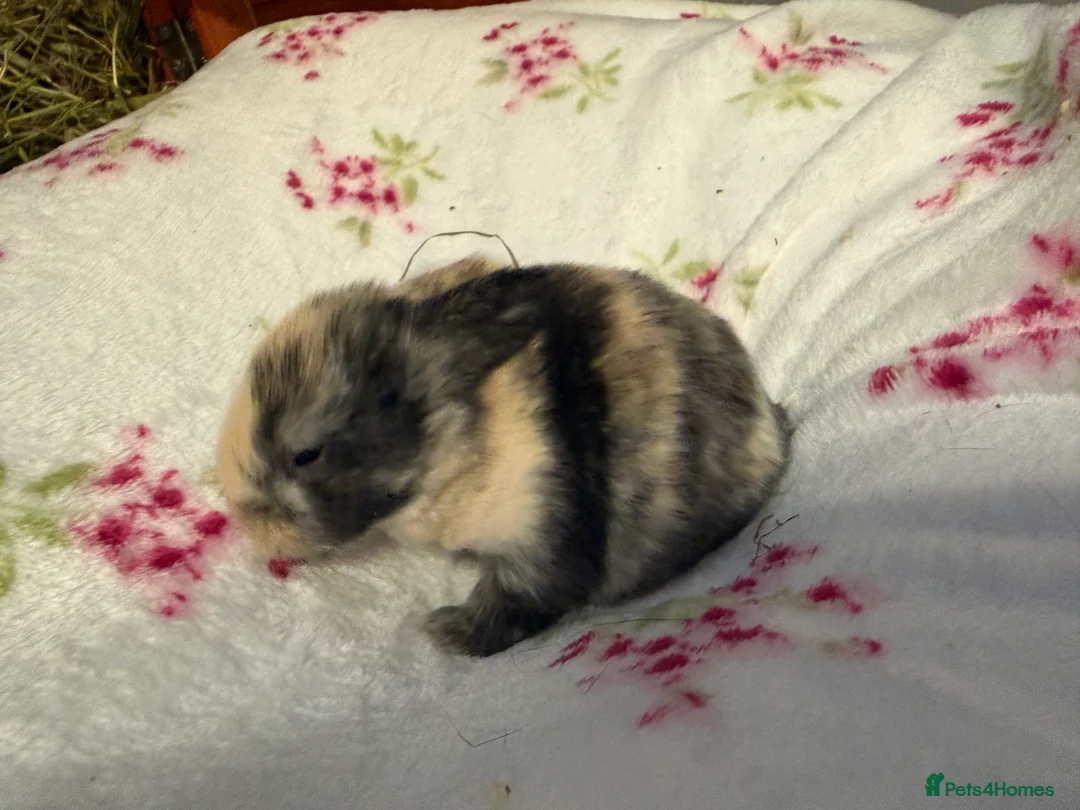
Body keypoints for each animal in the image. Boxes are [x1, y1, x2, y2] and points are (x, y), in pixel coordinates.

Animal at [216, 254, 791, 657]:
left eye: (306, 454)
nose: (248, 521)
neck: (454, 431)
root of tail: (771, 423)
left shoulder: (537, 528)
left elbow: (516, 600)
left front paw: (445, 632)